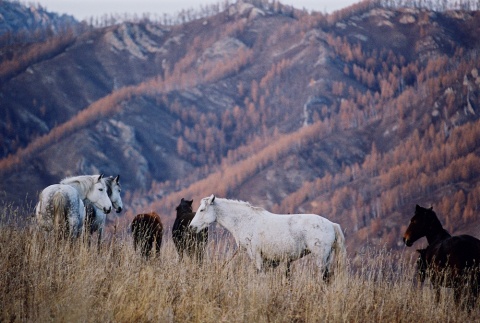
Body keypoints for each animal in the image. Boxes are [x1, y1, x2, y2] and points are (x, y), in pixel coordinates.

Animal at [189, 195, 346, 280]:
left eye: (202, 210)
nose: (191, 227)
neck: (246, 220)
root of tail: (331, 225)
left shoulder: (256, 255)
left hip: (320, 257)